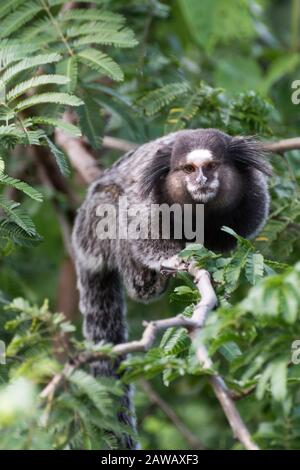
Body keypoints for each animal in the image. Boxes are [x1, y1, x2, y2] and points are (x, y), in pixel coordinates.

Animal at [71, 127, 270, 448]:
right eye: (188, 169)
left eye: (210, 166)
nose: (201, 180)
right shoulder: (145, 201)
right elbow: (139, 228)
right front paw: (173, 259)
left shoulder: (252, 198)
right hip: (92, 226)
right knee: (113, 207)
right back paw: (146, 284)